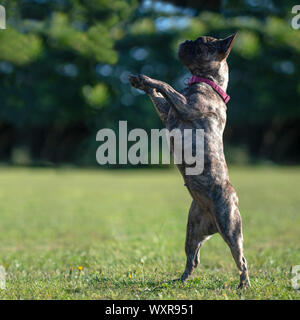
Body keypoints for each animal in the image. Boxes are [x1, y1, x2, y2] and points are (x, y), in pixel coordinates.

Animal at [130, 33, 250, 288]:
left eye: (201, 44)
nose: (186, 40)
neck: (208, 83)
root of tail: (212, 223)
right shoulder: (167, 111)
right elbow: (158, 96)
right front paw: (141, 83)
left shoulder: (184, 106)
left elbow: (166, 85)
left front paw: (147, 79)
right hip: (192, 230)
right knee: (192, 258)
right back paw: (180, 280)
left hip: (231, 227)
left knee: (241, 259)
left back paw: (244, 285)